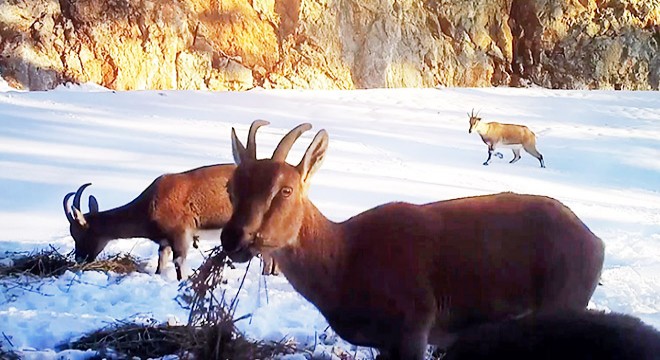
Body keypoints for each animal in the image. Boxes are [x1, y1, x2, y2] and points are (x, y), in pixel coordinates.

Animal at [62, 121, 278, 282]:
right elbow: (161, 263)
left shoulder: (180, 233)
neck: (149, 206)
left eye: (79, 233)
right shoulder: (164, 242)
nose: (79, 259)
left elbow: (179, 264)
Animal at [220, 121, 604, 360]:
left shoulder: (414, 324)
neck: (346, 261)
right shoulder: (385, 342)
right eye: (231, 187)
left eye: (285, 189)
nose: (234, 238)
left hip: (564, 300)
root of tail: (595, 242)